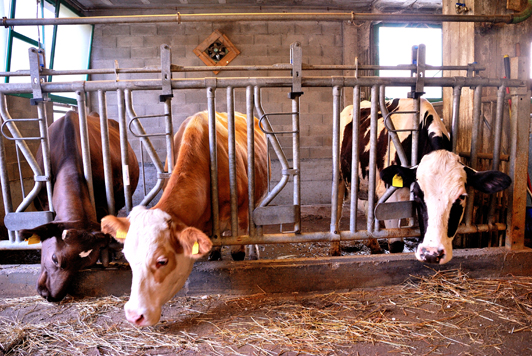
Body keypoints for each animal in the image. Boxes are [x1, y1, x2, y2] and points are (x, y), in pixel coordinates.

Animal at [336, 97, 512, 264]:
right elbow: (396, 245)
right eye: (417, 194)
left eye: (462, 197)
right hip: (339, 176)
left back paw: (374, 246)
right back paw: (335, 249)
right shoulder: (392, 198)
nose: (432, 254)